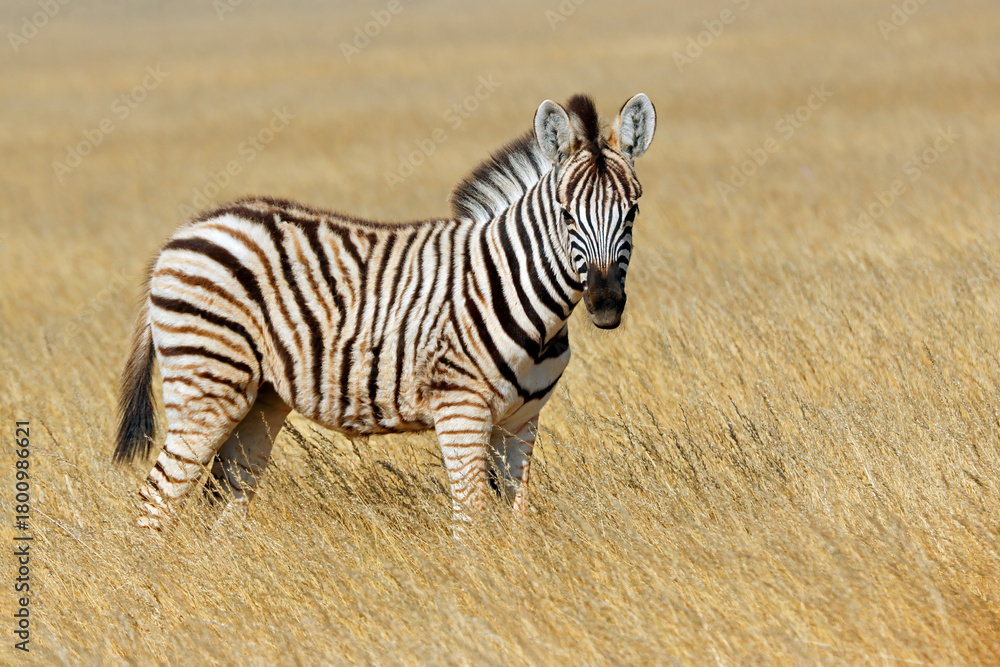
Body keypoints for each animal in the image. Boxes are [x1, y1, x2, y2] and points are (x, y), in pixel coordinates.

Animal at [113, 93, 656, 530]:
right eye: (566, 215)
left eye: (633, 211)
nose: (606, 306)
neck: (514, 286)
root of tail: (182, 235)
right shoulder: (461, 411)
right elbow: (472, 521)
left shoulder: (522, 422)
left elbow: (518, 518)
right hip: (207, 383)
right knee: (155, 502)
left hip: (259, 399)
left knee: (222, 498)